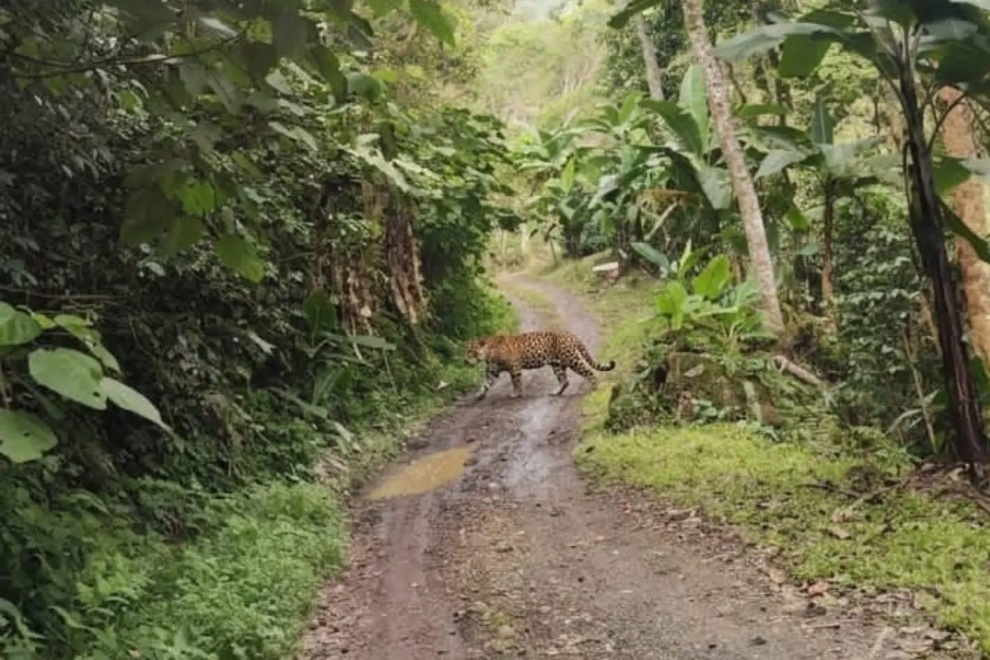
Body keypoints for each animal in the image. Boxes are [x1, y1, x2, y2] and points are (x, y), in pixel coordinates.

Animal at [465, 329, 616, 400]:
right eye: (466, 351)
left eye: (471, 352)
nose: (465, 361)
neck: (489, 353)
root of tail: (569, 333)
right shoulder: (492, 371)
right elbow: (485, 384)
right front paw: (479, 395)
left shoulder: (514, 367)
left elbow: (516, 382)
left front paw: (516, 394)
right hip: (556, 365)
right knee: (564, 381)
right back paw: (556, 392)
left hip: (572, 359)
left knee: (589, 372)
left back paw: (595, 388)